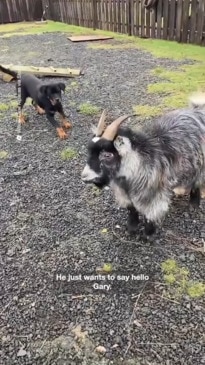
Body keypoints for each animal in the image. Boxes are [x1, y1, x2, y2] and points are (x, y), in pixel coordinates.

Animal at [81, 93, 205, 236]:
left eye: (107, 155)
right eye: (89, 151)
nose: (84, 176)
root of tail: (198, 111)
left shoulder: (153, 195)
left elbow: (150, 214)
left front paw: (148, 234)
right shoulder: (125, 193)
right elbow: (131, 208)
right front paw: (132, 228)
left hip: (200, 165)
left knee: (197, 183)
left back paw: (193, 205)